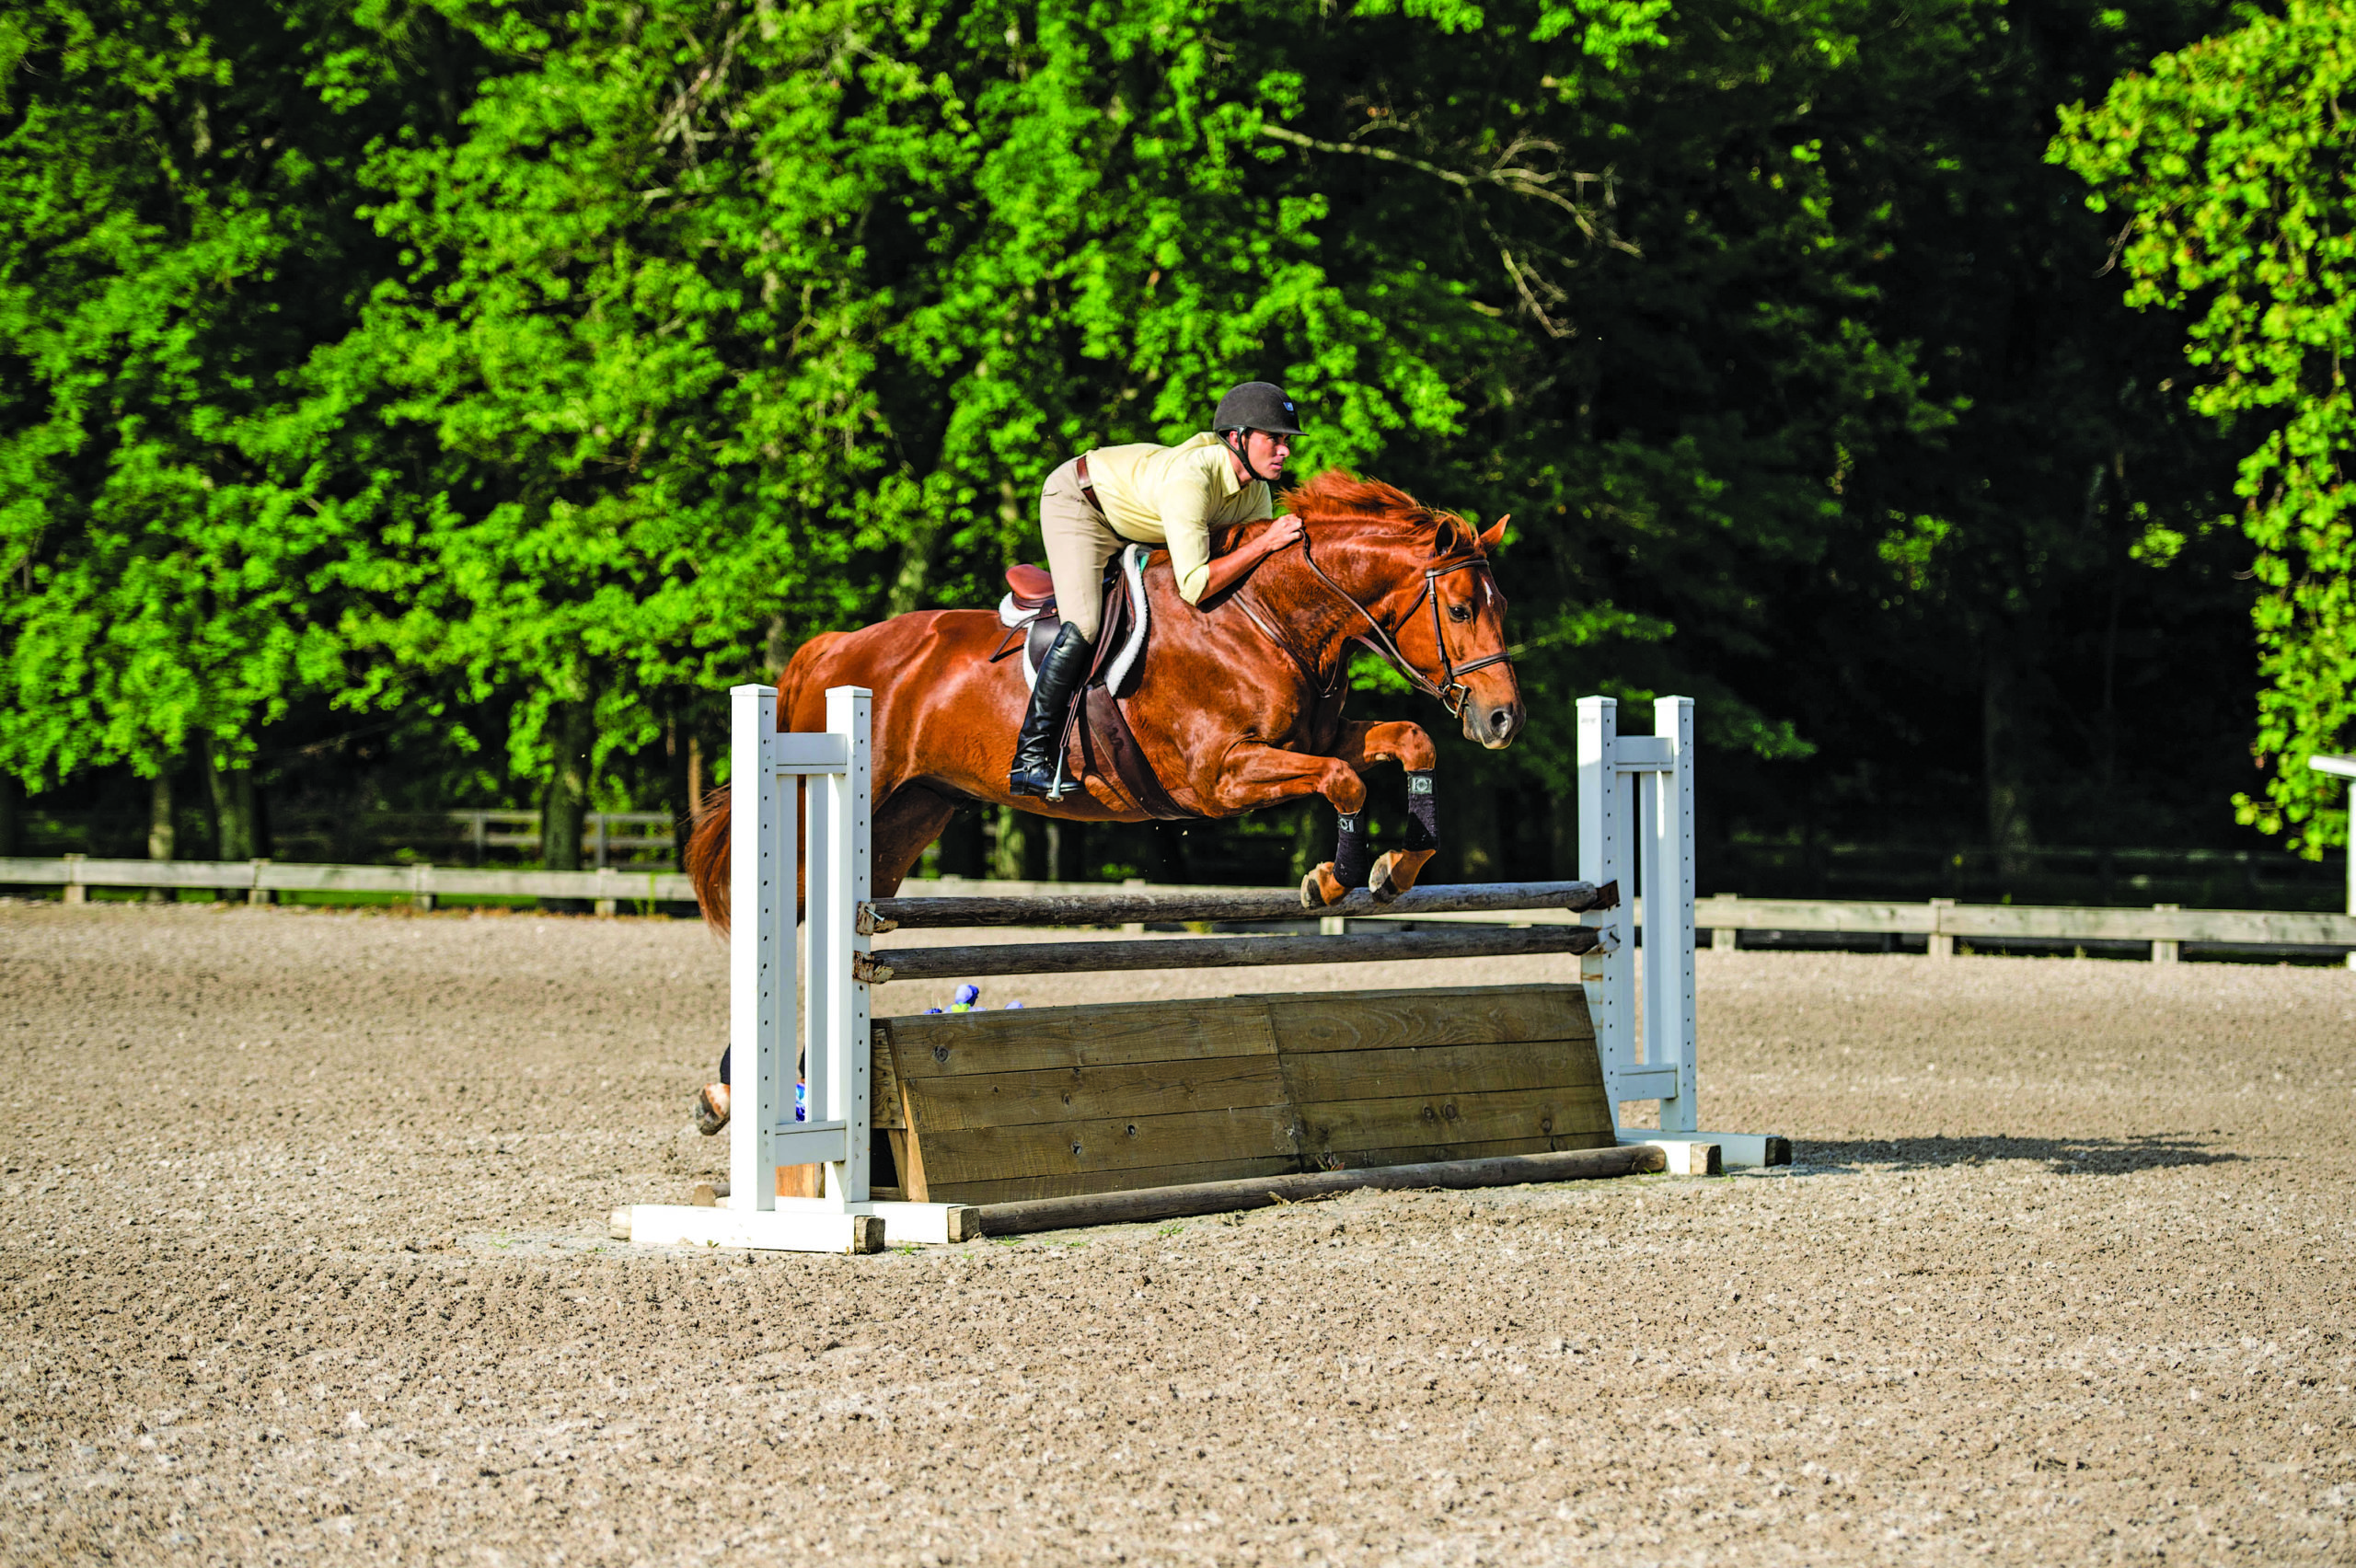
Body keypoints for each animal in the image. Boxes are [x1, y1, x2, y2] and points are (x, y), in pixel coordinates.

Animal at [687, 464, 1517, 928]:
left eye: (1499, 604)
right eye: (1460, 609)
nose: (1504, 718)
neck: (1268, 616)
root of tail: (834, 648)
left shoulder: (1309, 740)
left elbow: (1409, 740)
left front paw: (1396, 868)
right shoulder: (1220, 774)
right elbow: (1345, 780)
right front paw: (1331, 878)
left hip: (909, 814)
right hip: (828, 803)